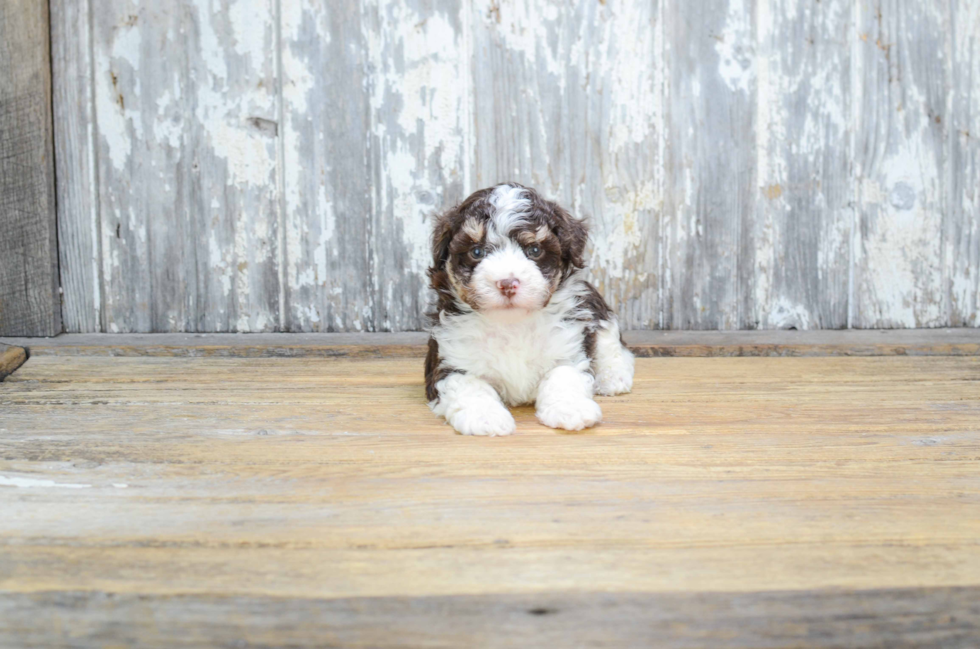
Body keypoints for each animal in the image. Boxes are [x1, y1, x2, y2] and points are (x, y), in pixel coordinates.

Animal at [424, 182, 636, 436]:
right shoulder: (450, 361)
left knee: (609, 340)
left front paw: (570, 409)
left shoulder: (568, 348)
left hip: (593, 305)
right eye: (476, 252)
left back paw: (613, 376)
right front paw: (484, 417)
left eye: (534, 250)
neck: (512, 323)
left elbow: (564, 375)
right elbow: (468, 386)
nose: (507, 283)